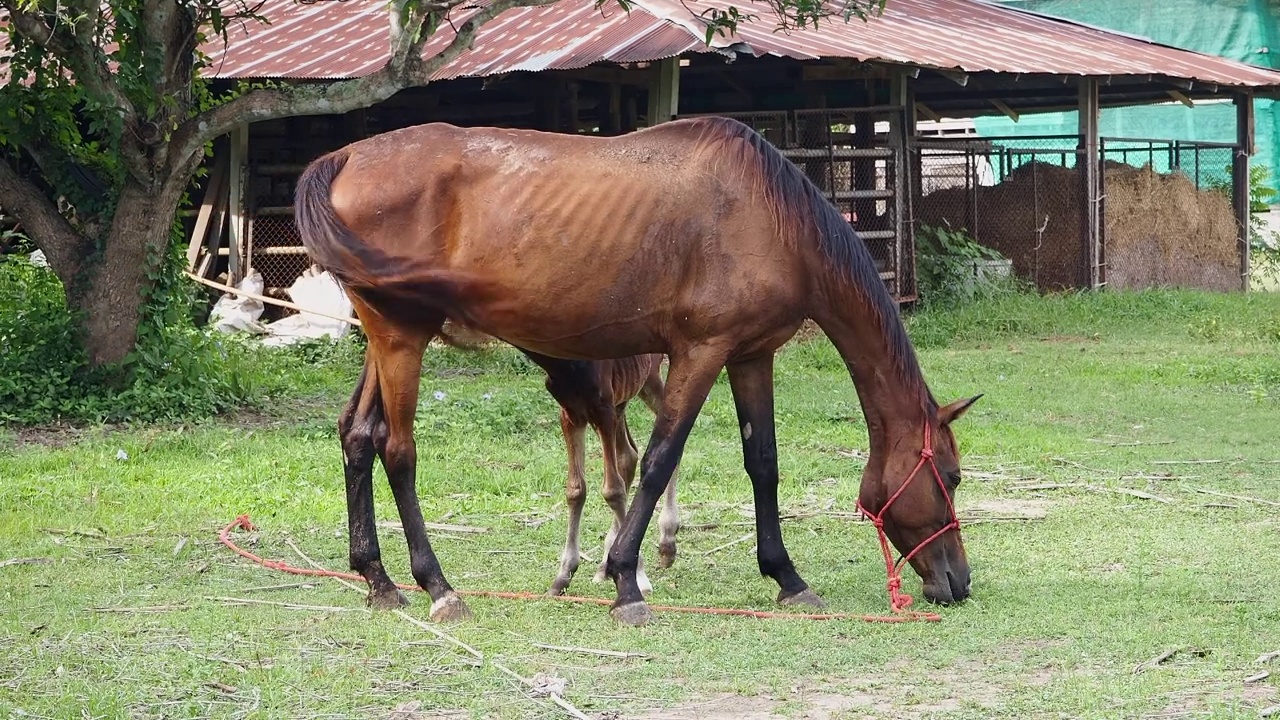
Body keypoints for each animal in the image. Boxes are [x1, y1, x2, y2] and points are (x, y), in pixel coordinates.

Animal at [296, 116, 977, 622]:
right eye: (950, 475)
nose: (958, 581)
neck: (769, 216)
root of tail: (348, 157)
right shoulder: (700, 353)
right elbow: (656, 461)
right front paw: (626, 581)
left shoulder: (750, 355)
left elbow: (763, 463)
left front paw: (786, 576)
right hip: (402, 338)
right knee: (398, 451)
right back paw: (439, 588)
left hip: (385, 340)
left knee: (357, 435)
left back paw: (379, 581)